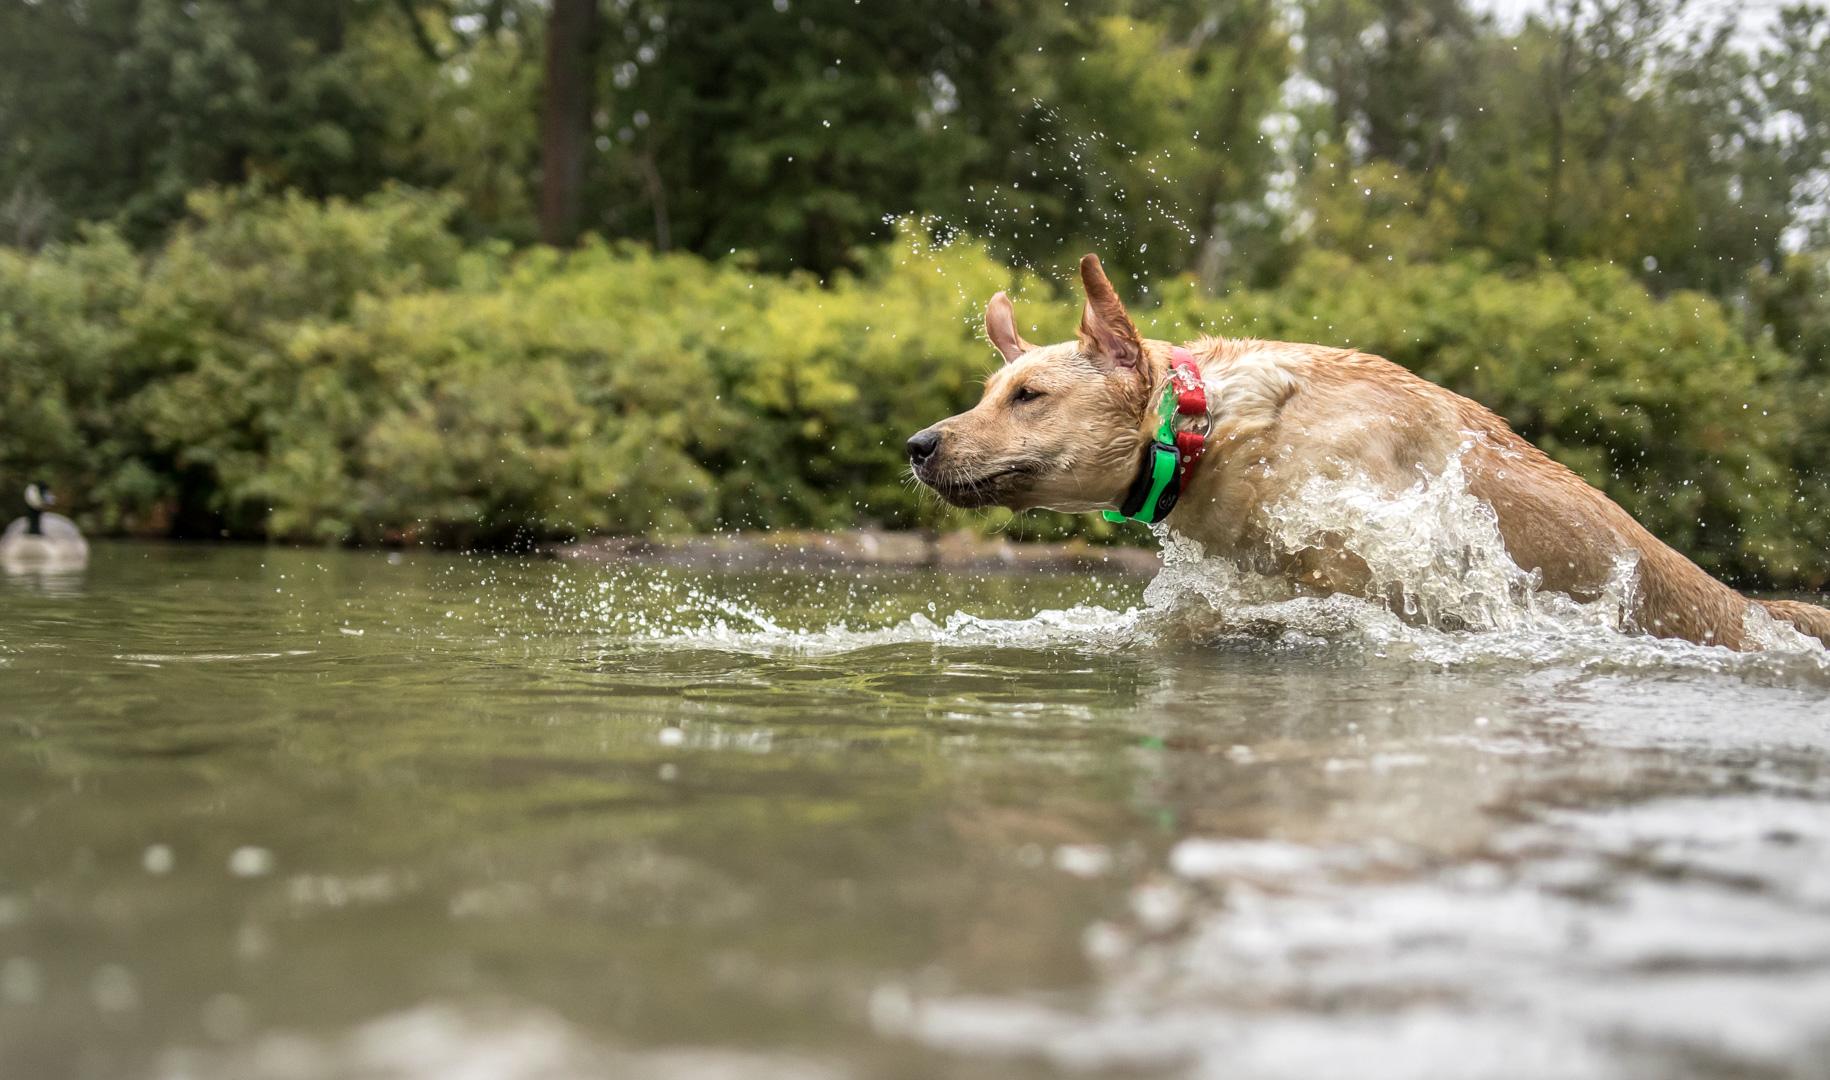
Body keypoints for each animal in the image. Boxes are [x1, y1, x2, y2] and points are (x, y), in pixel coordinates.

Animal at [907, 252, 1822, 651]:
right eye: (988, 392)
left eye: (1029, 396)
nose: (918, 443)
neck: (1208, 429)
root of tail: (1749, 605)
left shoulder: (1369, 571)